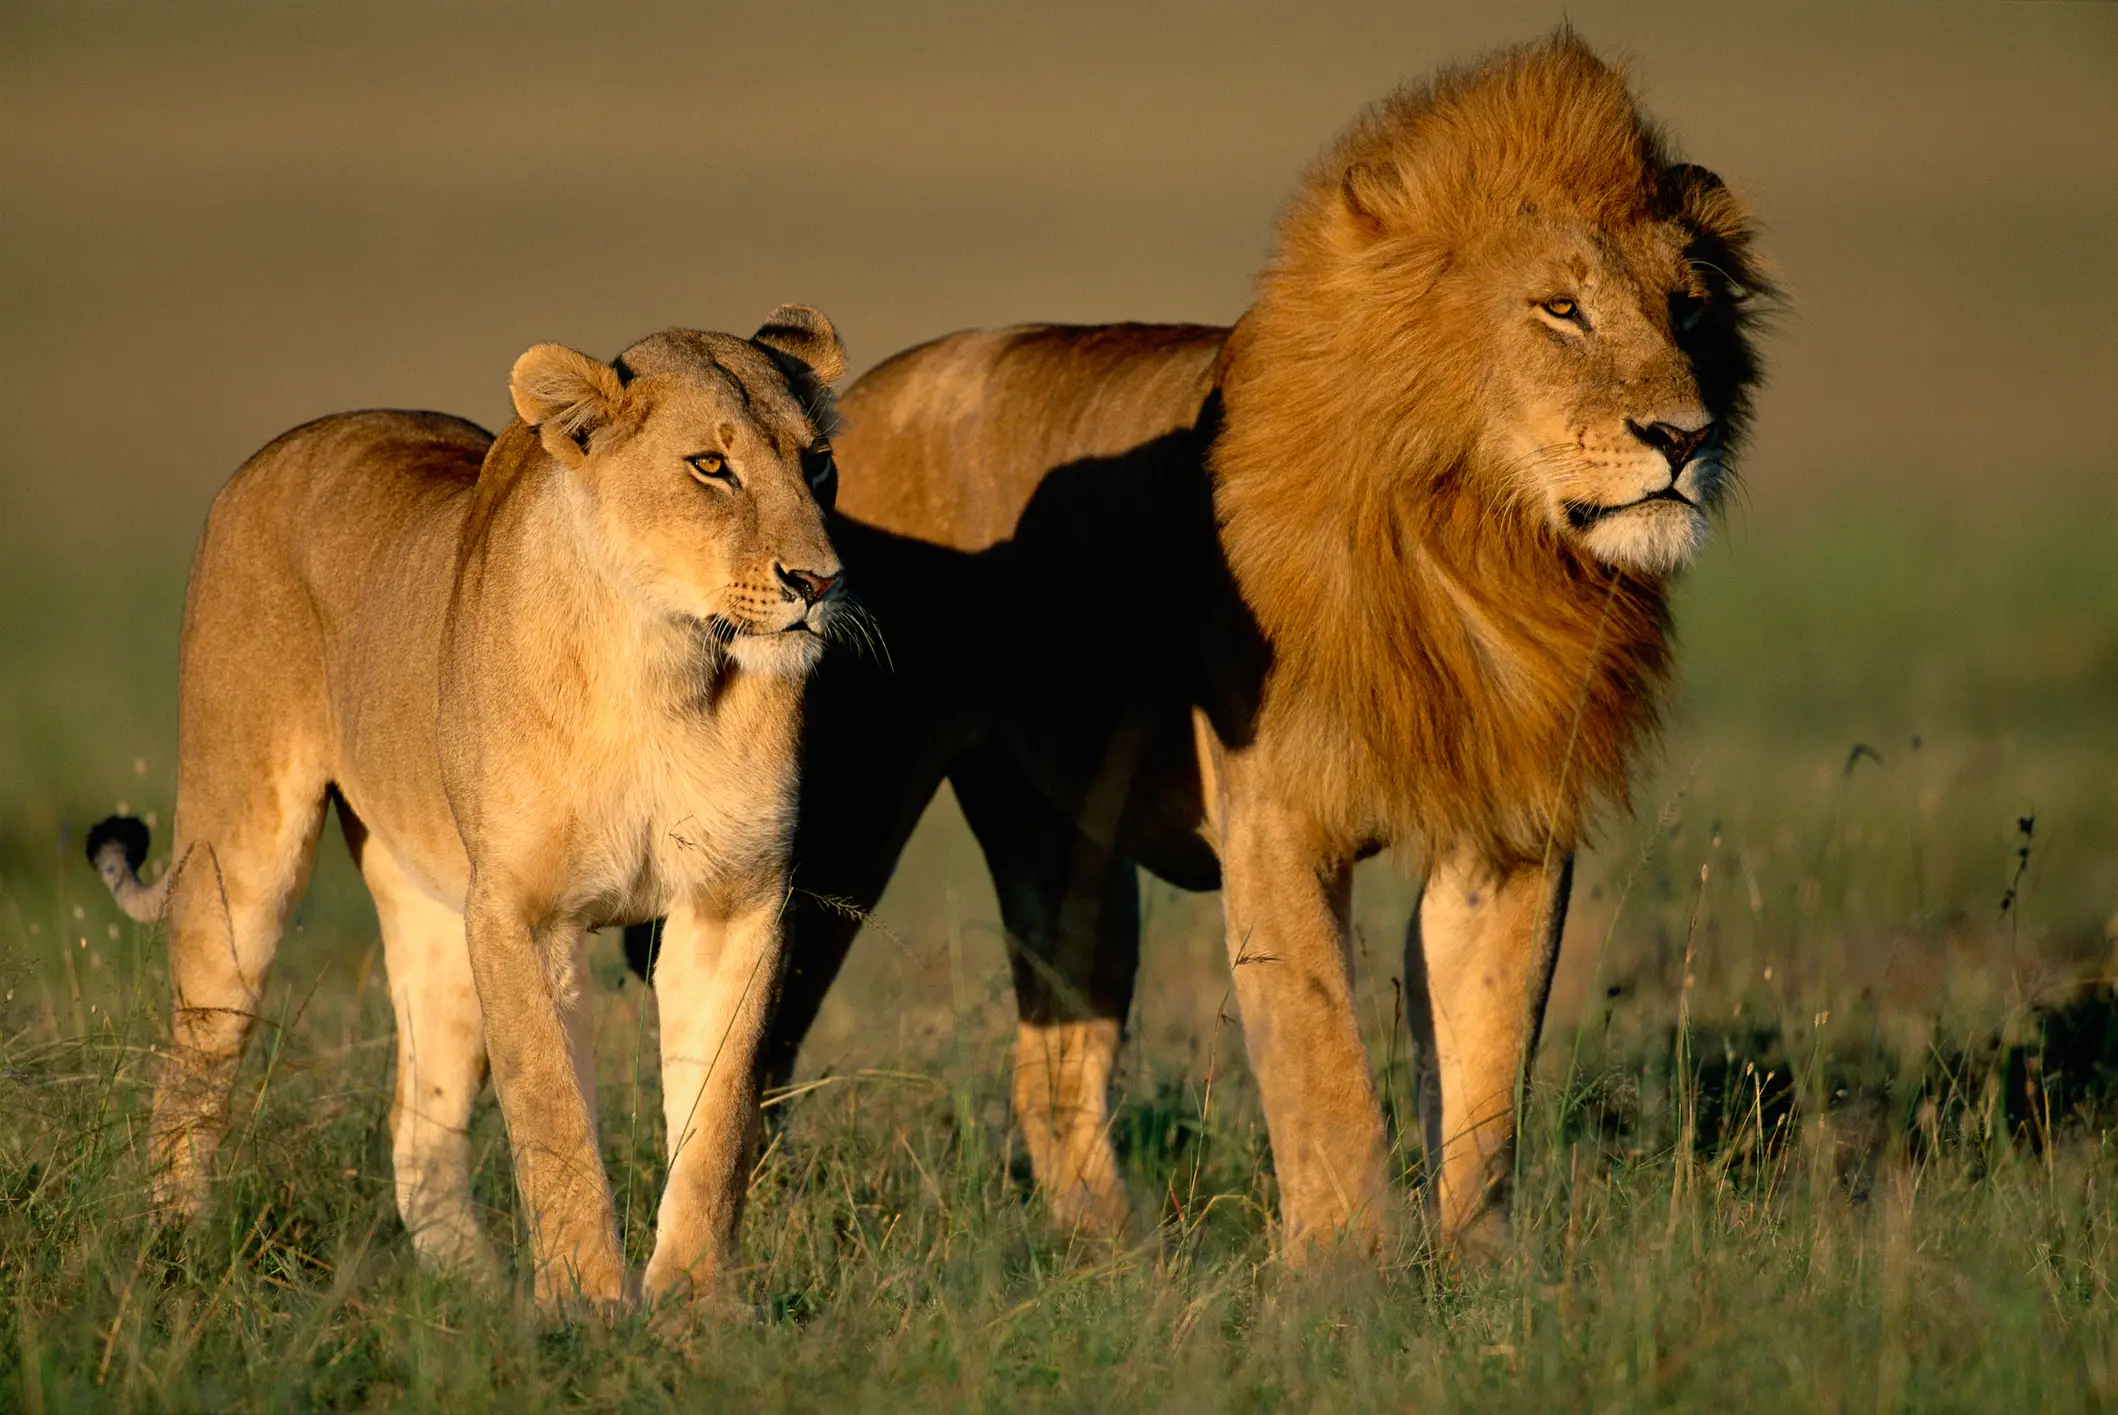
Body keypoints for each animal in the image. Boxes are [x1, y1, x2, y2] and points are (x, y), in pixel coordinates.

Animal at [88, 307, 849, 1310]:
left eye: (818, 464)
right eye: (711, 466)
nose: (820, 582)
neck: (665, 667)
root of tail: (279, 449)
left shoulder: (737, 900)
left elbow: (716, 1120)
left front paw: (692, 1307)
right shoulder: (520, 912)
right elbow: (553, 1115)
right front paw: (585, 1306)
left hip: (432, 912)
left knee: (418, 1129)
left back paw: (473, 1298)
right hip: (239, 858)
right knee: (193, 1073)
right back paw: (178, 1254)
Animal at [660, 34, 1770, 1258]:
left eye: (1690, 311)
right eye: (1561, 308)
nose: (1684, 436)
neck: (1481, 545)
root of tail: (840, 415)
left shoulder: (1510, 826)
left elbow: (1486, 1080)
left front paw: (1477, 1268)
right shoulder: (1275, 818)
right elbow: (1326, 1067)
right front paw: (1347, 1271)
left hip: (1066, 846)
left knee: (1053, 1062)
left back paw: (1119, 1258)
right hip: (839, 823)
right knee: (756, 1048)